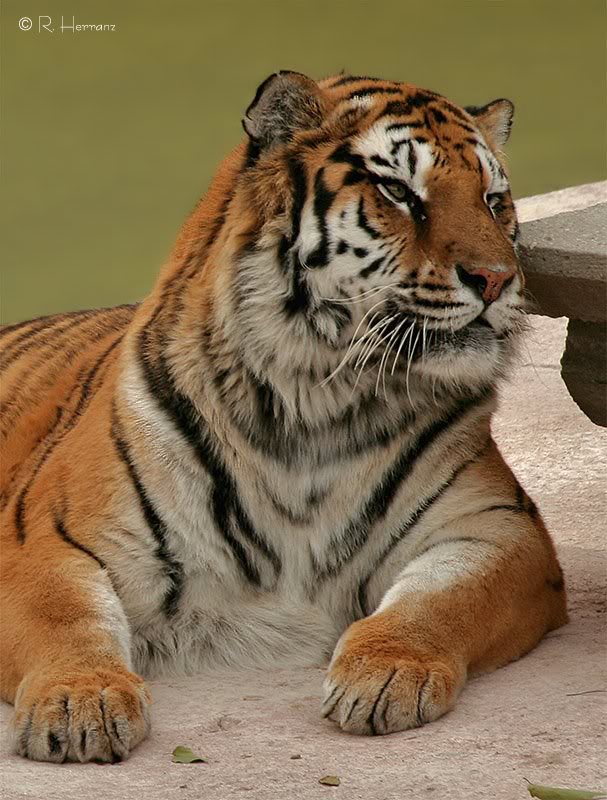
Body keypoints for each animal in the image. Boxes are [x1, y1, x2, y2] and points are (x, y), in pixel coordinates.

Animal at [0, 71, 568, 763]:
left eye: (493, 199)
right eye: (399, 192)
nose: (496, 280)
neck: (316, 404)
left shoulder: (499, 530)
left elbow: (438, 603)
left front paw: (385, 675)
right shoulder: (42, 540)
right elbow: (66, 619)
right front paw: (80, 701)